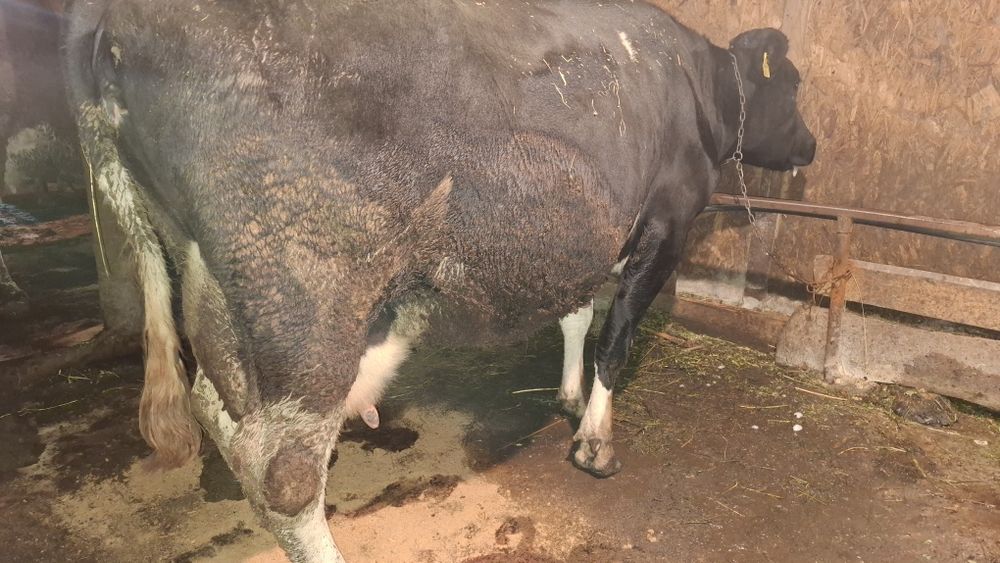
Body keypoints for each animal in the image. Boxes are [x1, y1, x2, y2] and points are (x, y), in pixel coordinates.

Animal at [64, 1, 815, 561]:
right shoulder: (666, 221)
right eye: (793, 84)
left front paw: (569, 397)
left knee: (214, 407)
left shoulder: (585, 238)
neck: (694, 82)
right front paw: (595, 442)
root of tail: (110, 22)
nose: (811, 146)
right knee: (281, 470)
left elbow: (575, 314)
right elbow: (616, 338)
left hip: (216, 285)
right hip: (305, 298)